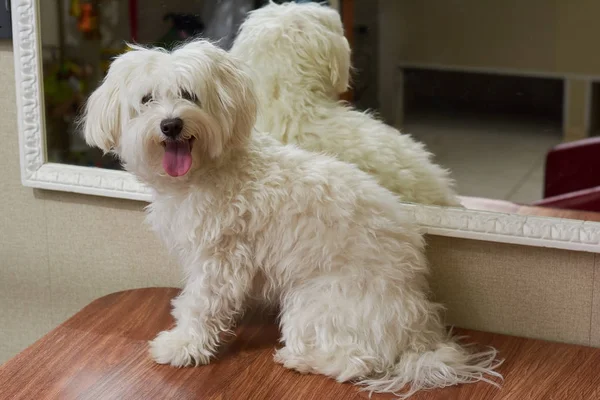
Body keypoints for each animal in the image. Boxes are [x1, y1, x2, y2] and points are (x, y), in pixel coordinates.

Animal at [82, 39, 500, 396]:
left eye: (190, 95)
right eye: (146, 100)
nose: (171, 124)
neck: (210, 170)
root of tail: (418, 327)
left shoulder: (221, 260)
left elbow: (203, 304)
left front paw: (183, 345)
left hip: (313, 303)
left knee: (358, 360)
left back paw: (299, 358)